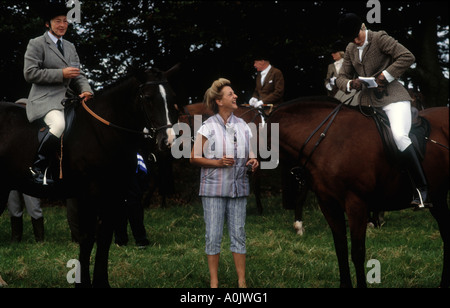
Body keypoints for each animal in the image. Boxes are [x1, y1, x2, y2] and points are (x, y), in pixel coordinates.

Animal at [0, 65, 179, 288]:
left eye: (172, 97)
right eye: (147, 97)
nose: (167, 140)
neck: (103, 132)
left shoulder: (114, 195)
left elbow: (104, 238)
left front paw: (102, 283)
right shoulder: (88, 195)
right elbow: (87, 238)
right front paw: (82, 282)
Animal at [268, 95, 448, 286]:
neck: (328, 141)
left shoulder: (356, 204)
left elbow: (357, 252)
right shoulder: (329, 205)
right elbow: (340, 249)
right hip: (439, 197)